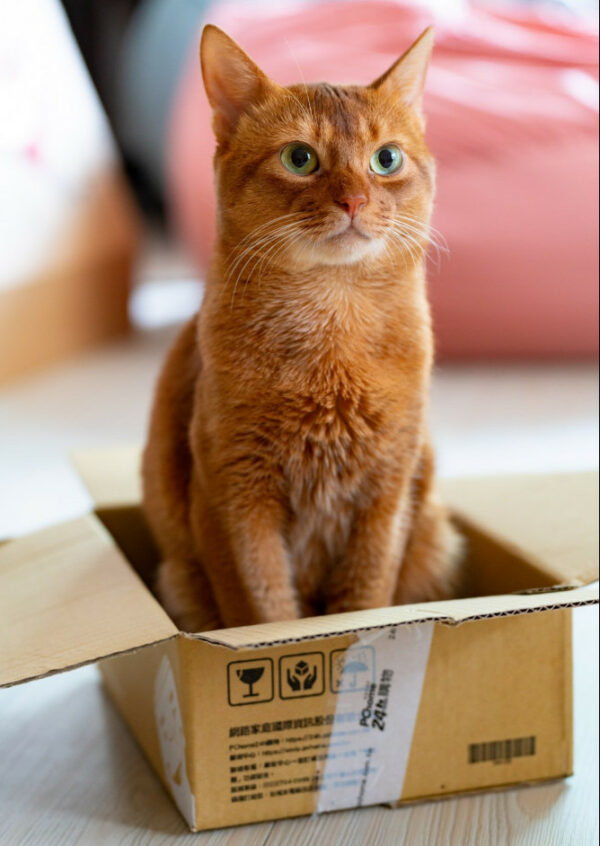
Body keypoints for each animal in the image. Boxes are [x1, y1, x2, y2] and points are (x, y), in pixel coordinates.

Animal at [143, 23, 462, 632]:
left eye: (386, 159)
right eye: (299, 158)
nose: (355, 200)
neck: (331, 325)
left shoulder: (389, 492)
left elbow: (367, 599)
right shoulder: (232, 497)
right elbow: (263, 609)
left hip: (433, 531)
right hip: (178, 574)